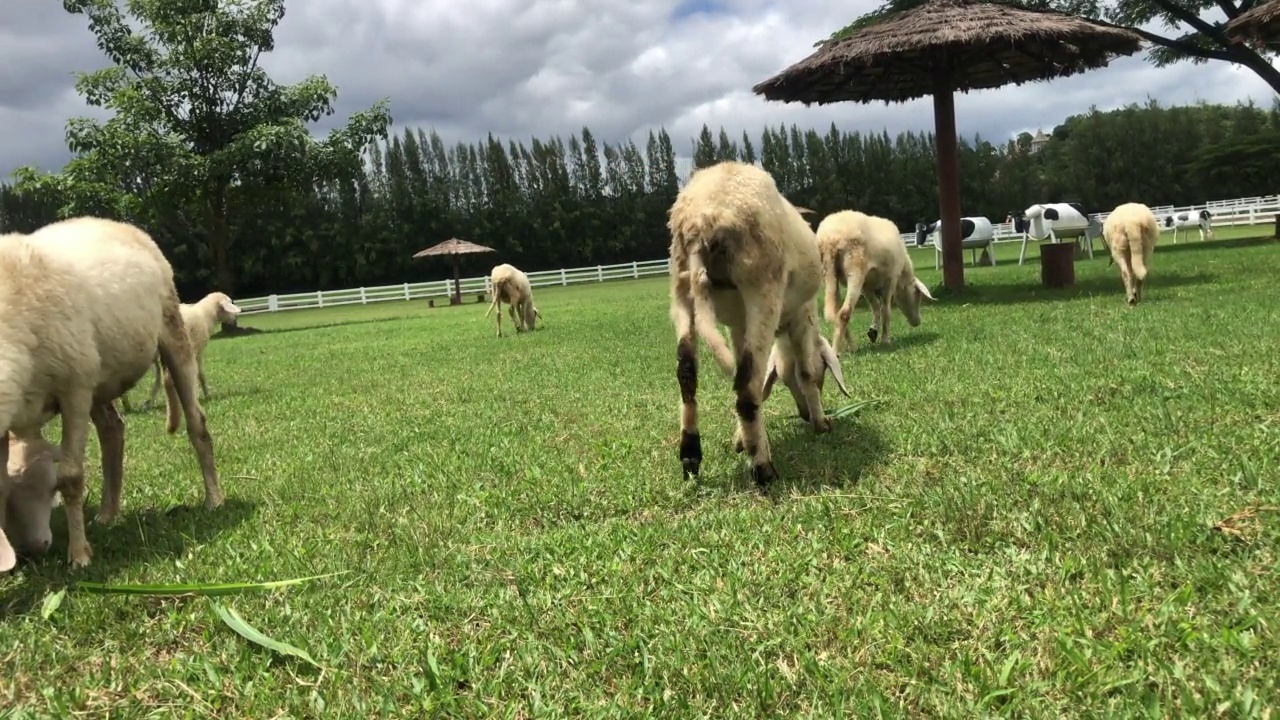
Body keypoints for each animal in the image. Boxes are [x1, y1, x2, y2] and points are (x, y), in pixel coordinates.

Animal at [0, 213, 225, 566]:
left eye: (48, 489)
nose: (32, 550)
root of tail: (109, 221)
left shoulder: (74, 391)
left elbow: (72, 476)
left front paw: (79, 555)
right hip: (100, 375)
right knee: (112, 431)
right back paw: (107, 514)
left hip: (170, 331)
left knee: (196, 424)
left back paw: (214, 499)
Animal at [670, 159, 849, 484]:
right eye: (824, 375)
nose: (804, 415)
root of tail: (700, 221)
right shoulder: (803, 317)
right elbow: (805, 371)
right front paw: (821, 423)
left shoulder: (737, 326)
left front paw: (740, 440)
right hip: (761, 288)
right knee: (746, 386)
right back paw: (763, 468)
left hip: (681, 290)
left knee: (687, 374)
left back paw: (690, 454)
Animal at [819, 208, 942, 351]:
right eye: (918, 296)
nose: (917, 322)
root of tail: (830, 239)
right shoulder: (891, 278)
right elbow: (886, 310)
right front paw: (885, 340)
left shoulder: (866, 286)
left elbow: (876, 306)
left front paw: (873, 331)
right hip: (855, 269)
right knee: (844, 312)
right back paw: (836, 350)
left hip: (828, 274)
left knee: (835, 312)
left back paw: (850, 347)